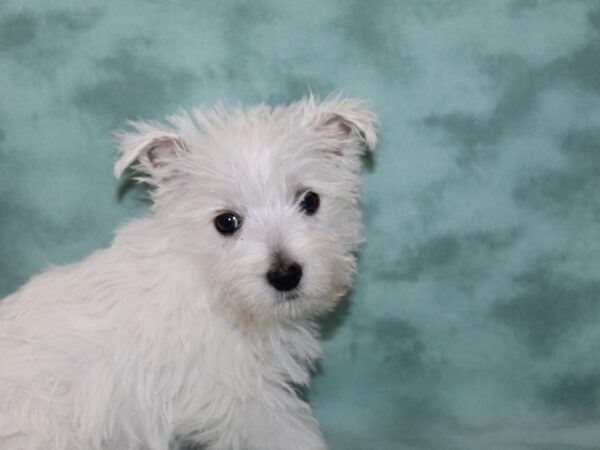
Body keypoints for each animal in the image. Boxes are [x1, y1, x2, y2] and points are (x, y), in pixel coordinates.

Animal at [0, 93, 376, 448]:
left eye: (310, 201)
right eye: (226, 222)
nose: (285, 275)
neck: (206, 280)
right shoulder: (243, 399)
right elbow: (289, 436)